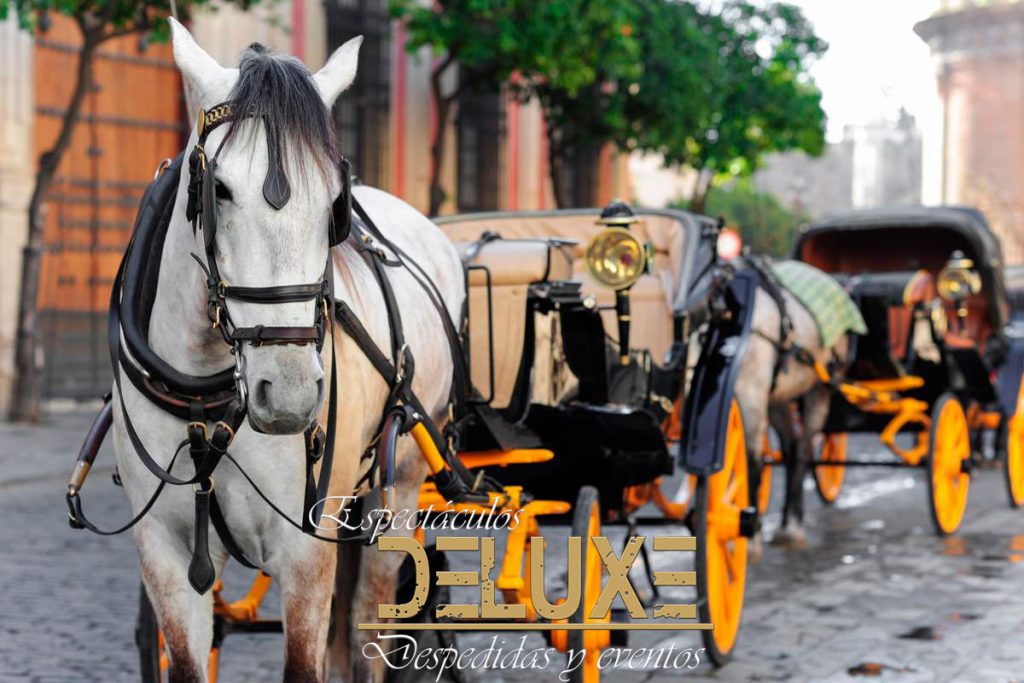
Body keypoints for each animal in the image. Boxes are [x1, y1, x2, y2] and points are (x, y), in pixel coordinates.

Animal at [113, 19, 463, 681]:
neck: (208, 402)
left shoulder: (305, 548)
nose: (292, 392)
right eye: (220, 189)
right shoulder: (164, 555)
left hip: (398, 489)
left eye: (334, 202)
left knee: (366, 625)